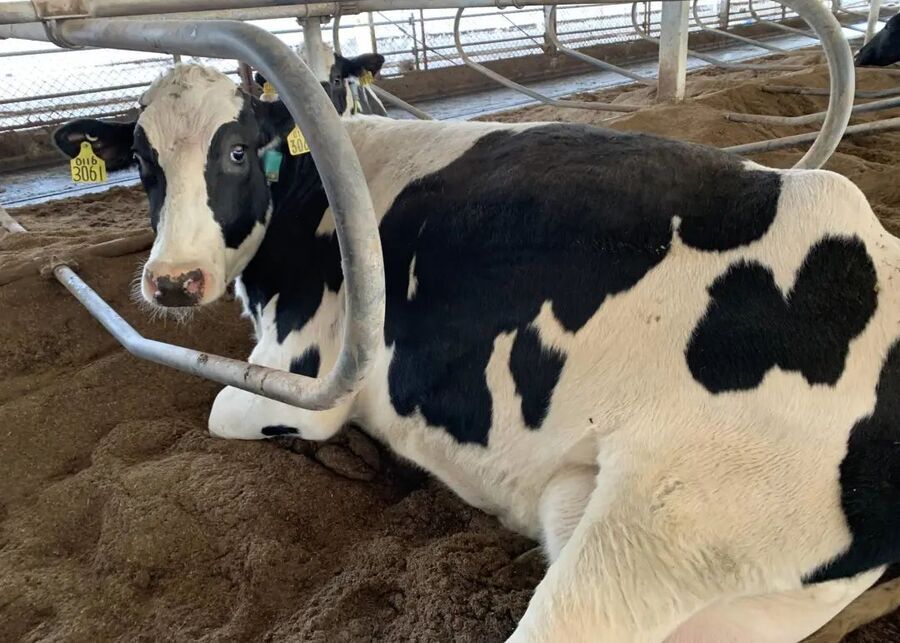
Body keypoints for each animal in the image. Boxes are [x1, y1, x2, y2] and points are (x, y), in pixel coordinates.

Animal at [52, 62, 900, 642]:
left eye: (236, 151)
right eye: (141, 162)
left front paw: (334, 449)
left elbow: (225, 407)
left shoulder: (310, 370)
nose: (172, 281)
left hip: (671, 522)